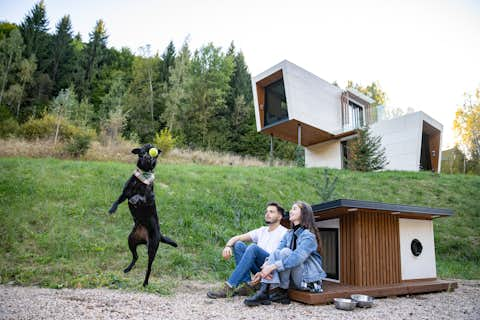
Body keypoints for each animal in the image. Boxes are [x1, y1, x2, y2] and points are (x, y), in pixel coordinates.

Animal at [108, 144, 177, 286]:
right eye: (143, 151)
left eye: (153, 153)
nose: (148, 157)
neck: (143, 176)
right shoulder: (125, 192)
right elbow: (118, 200)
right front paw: (112, 209)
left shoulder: (150, 197)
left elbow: (141, 196)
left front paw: (136, 199)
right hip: (131, 240)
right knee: (136, 256)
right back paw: (128, 269)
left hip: (152, 249)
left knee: (149, 267)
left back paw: (145, 282)